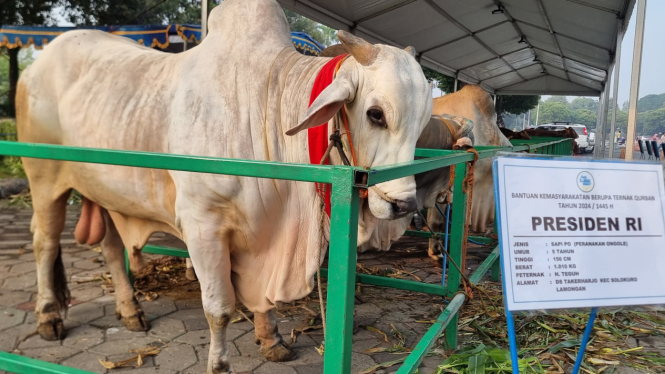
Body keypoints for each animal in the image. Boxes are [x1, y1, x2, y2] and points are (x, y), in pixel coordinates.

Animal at [16, 0, 430, 372]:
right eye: (375, 114)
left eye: (424, 120)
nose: (404, 205)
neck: (266, 107)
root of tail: (34, 67)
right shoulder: (202, 226)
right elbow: (219, 308)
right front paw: (219, 363)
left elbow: (264, 300)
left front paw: (272, 340)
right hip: (44, 179)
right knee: (44, 242)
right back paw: (49, 317)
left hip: (104, 191)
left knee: (112, 247)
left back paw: (131, 310)